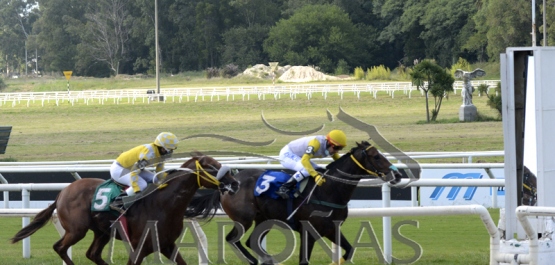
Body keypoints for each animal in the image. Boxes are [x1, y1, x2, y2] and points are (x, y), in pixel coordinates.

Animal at [9, 155, 239, 264]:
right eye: (212, 167)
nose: (235, 183)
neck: (165, 204)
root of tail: (62, 192)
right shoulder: (139, 248)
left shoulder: (167, 245)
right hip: (76, 230)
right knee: (60, 247)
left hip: (102, 232)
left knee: (92, 254)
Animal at [187, 141, 404, 264]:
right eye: (376, 156)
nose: (398, 175)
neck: (329, 189)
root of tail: (228, 185)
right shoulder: (309, 232)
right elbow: (303, 261)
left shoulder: (331, 229)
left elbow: (349, 250)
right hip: (244, 219)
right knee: (234, 239)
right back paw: (255, 261)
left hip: (265, 219)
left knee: (252, 241)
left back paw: (268, 260)